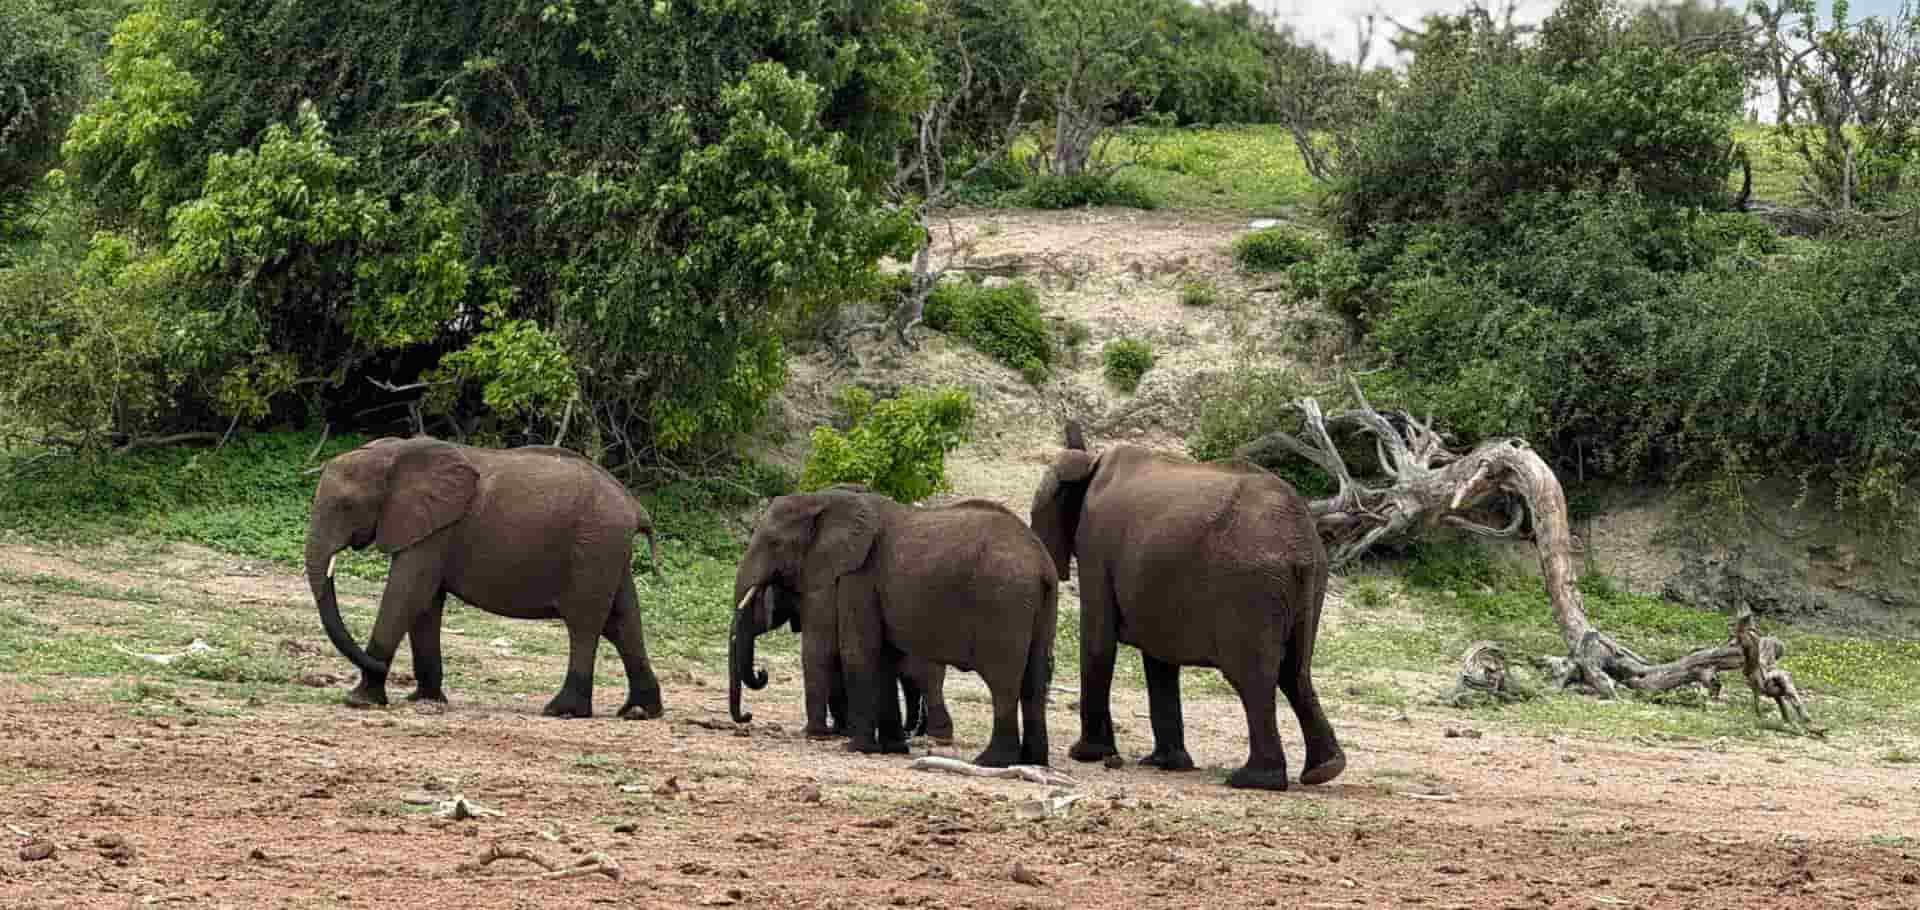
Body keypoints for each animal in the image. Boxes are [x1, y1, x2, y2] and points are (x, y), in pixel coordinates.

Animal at [305, 436, 665, 720]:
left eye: (346, 506)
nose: (377, 667)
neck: (395, 451)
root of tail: (636, 508)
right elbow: (425, 604)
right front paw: (424, 700)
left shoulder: (436, 531)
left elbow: (408, 593)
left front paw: (358, 701)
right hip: (609, 551)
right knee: (623, 623)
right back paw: (639, 712)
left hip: (594, 547)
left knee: (584, 624)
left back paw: (562, 711)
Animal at [730, 488, 1057, 767]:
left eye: (774, 543)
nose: (747, 715)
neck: (824, 499)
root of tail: (1042, 562)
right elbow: (884, 657)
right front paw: (892, 749)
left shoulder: (857, 576)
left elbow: (854, 651)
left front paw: (852, 746)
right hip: (1039, 604)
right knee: (1035, 680)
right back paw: (1032, 760)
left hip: (1004, 603)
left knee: (1003, 681)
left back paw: (990, 761)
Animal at [1028, 421, 1344, 791]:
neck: (1091, 462)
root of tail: (1300, 536)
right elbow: (1158, 656)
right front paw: (1165, 764)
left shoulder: (1095, 547)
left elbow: (1098, 641)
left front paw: (1086, 755)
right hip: (1308, 582)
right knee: (1296, 672)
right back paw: (1324, 770)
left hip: (1250, 587)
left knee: (1252, 676)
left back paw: (1252, 779)